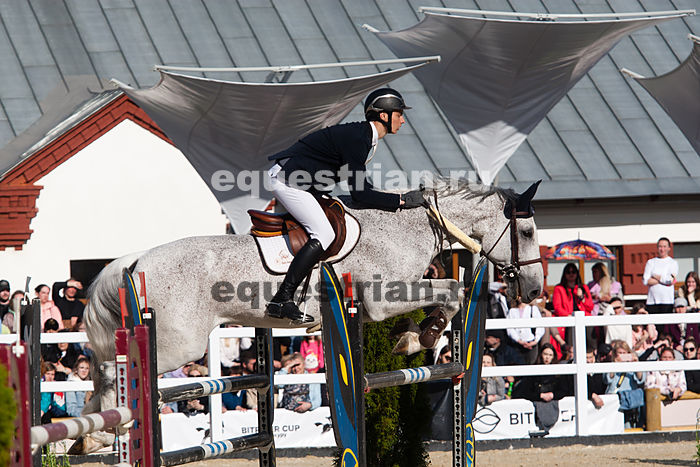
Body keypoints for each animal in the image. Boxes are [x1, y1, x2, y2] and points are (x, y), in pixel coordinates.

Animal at [74, 178, 543, 453]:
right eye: (526, 232)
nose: (537, 290)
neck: (404, 229)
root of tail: (135, 260)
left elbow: (442, 298)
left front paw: (412, 336)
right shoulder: (381, 299)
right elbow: (451, 291)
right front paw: (422, 336)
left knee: (101, 370)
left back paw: (91, 436)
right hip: (177, 343)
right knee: (114, 370)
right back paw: (108, 430)